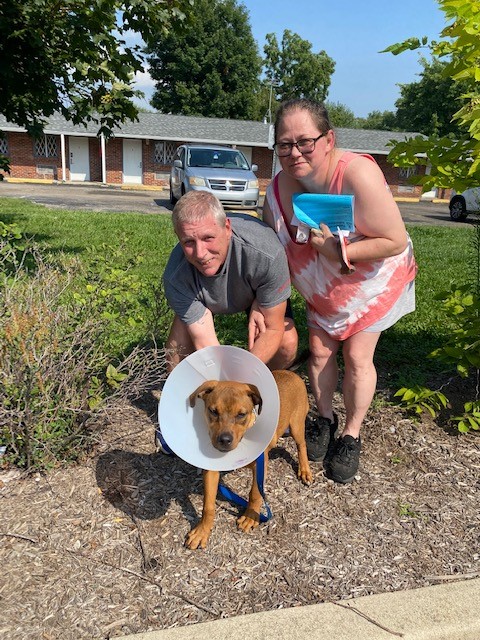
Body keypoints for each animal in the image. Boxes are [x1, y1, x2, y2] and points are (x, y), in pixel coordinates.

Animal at [184, 370, 312, 552]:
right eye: (213, 411)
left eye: (241, 414)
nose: (224, 440)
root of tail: (292, 373)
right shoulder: (211, 470)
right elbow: (208, 505)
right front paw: (202, 531)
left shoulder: (261, 465)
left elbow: (255, 493)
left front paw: (251, 516)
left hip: (297, 425)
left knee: (302, 445)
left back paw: (305, 470)